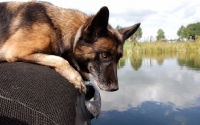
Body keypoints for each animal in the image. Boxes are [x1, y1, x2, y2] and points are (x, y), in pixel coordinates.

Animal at [0, 0, 140, 93]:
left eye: (119, 58)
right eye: (104, 55)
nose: (114, 88)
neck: (55, 28)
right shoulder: (16, 51)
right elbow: (59, 59)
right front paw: (75, 76)